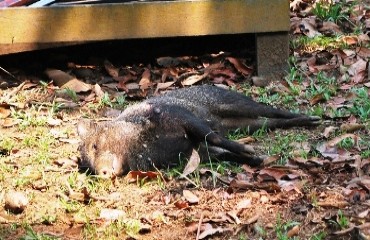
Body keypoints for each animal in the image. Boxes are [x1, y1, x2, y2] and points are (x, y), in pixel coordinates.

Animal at [76, 85, 320, 177]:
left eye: (95, 144)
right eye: (87, 167)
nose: (102, 172)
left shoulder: (184, 119)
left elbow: (216, 138)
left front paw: (249, 150)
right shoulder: (198, 151)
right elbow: (226, 153)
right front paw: (256, 160)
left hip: (240, 105)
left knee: (274, 111)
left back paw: (312, 118)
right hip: (247, 123)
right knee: (270, 122)